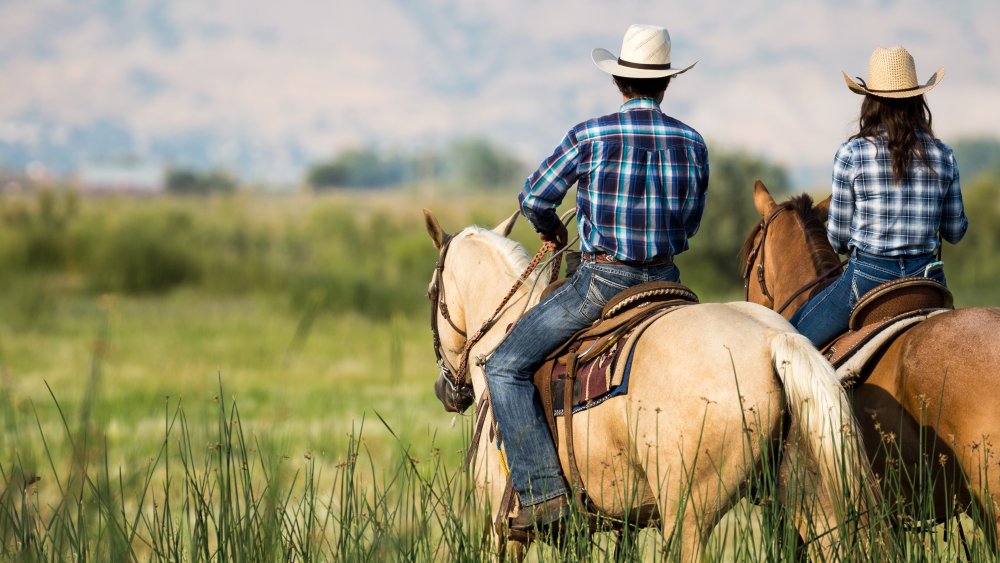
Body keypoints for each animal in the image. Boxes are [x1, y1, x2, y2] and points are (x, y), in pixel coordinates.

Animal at [424, 209, 876, 560]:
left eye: (431, 292)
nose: (445, 391)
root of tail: (773, 340)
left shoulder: (501, 530)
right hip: (812, 499)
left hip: (688, 516)